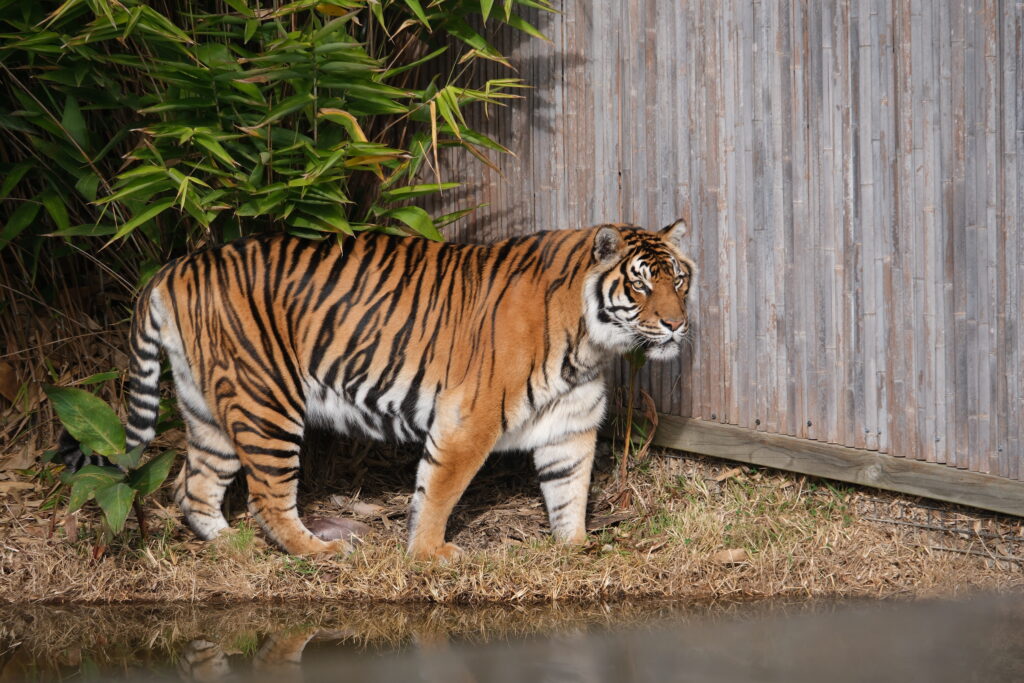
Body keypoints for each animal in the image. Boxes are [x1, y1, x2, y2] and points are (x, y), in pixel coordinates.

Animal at [57, 220, 695, 559]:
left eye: (680, 279)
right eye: (640, 286)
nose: (674, 324)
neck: (590, 345)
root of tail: (174, 268)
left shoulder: (571, 423)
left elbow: (569, 490)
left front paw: (576, 546)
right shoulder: (468, 418)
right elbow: (439, 491)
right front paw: (431, 555)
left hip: (206, 410)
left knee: (194, 486)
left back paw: (230, 546)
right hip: (267, 403)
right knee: (266, 496)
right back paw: (319, 552)